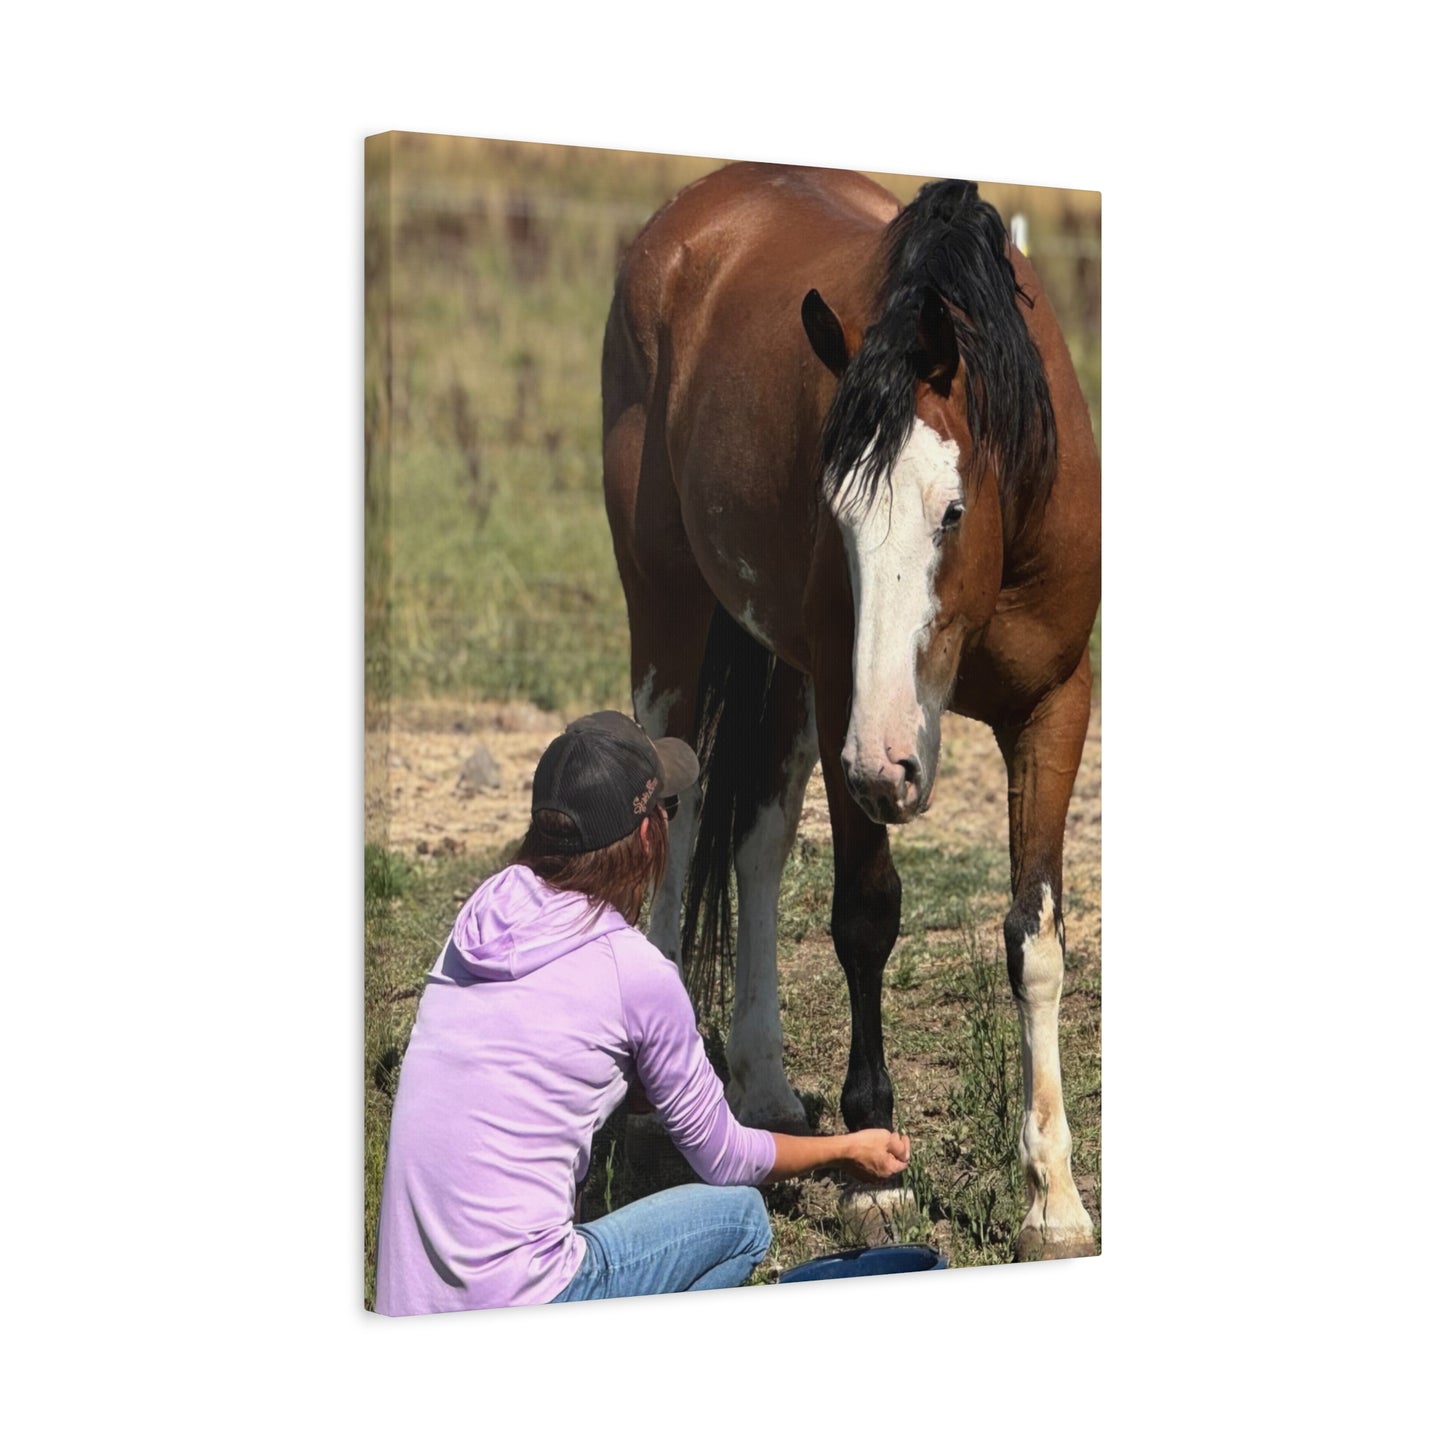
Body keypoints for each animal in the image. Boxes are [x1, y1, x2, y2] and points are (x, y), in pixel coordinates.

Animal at [601, 162, 1100, 1260]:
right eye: (834, 512)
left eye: (950, 510)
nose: (888, 765)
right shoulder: (847, 704)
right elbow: (866, 917)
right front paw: (877, 1177)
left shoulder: (1053, 708)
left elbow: (1035, 937)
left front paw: (1052, 1195)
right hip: (670, 613)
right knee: (676, 817)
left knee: (756, 840)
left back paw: (762, 1085)